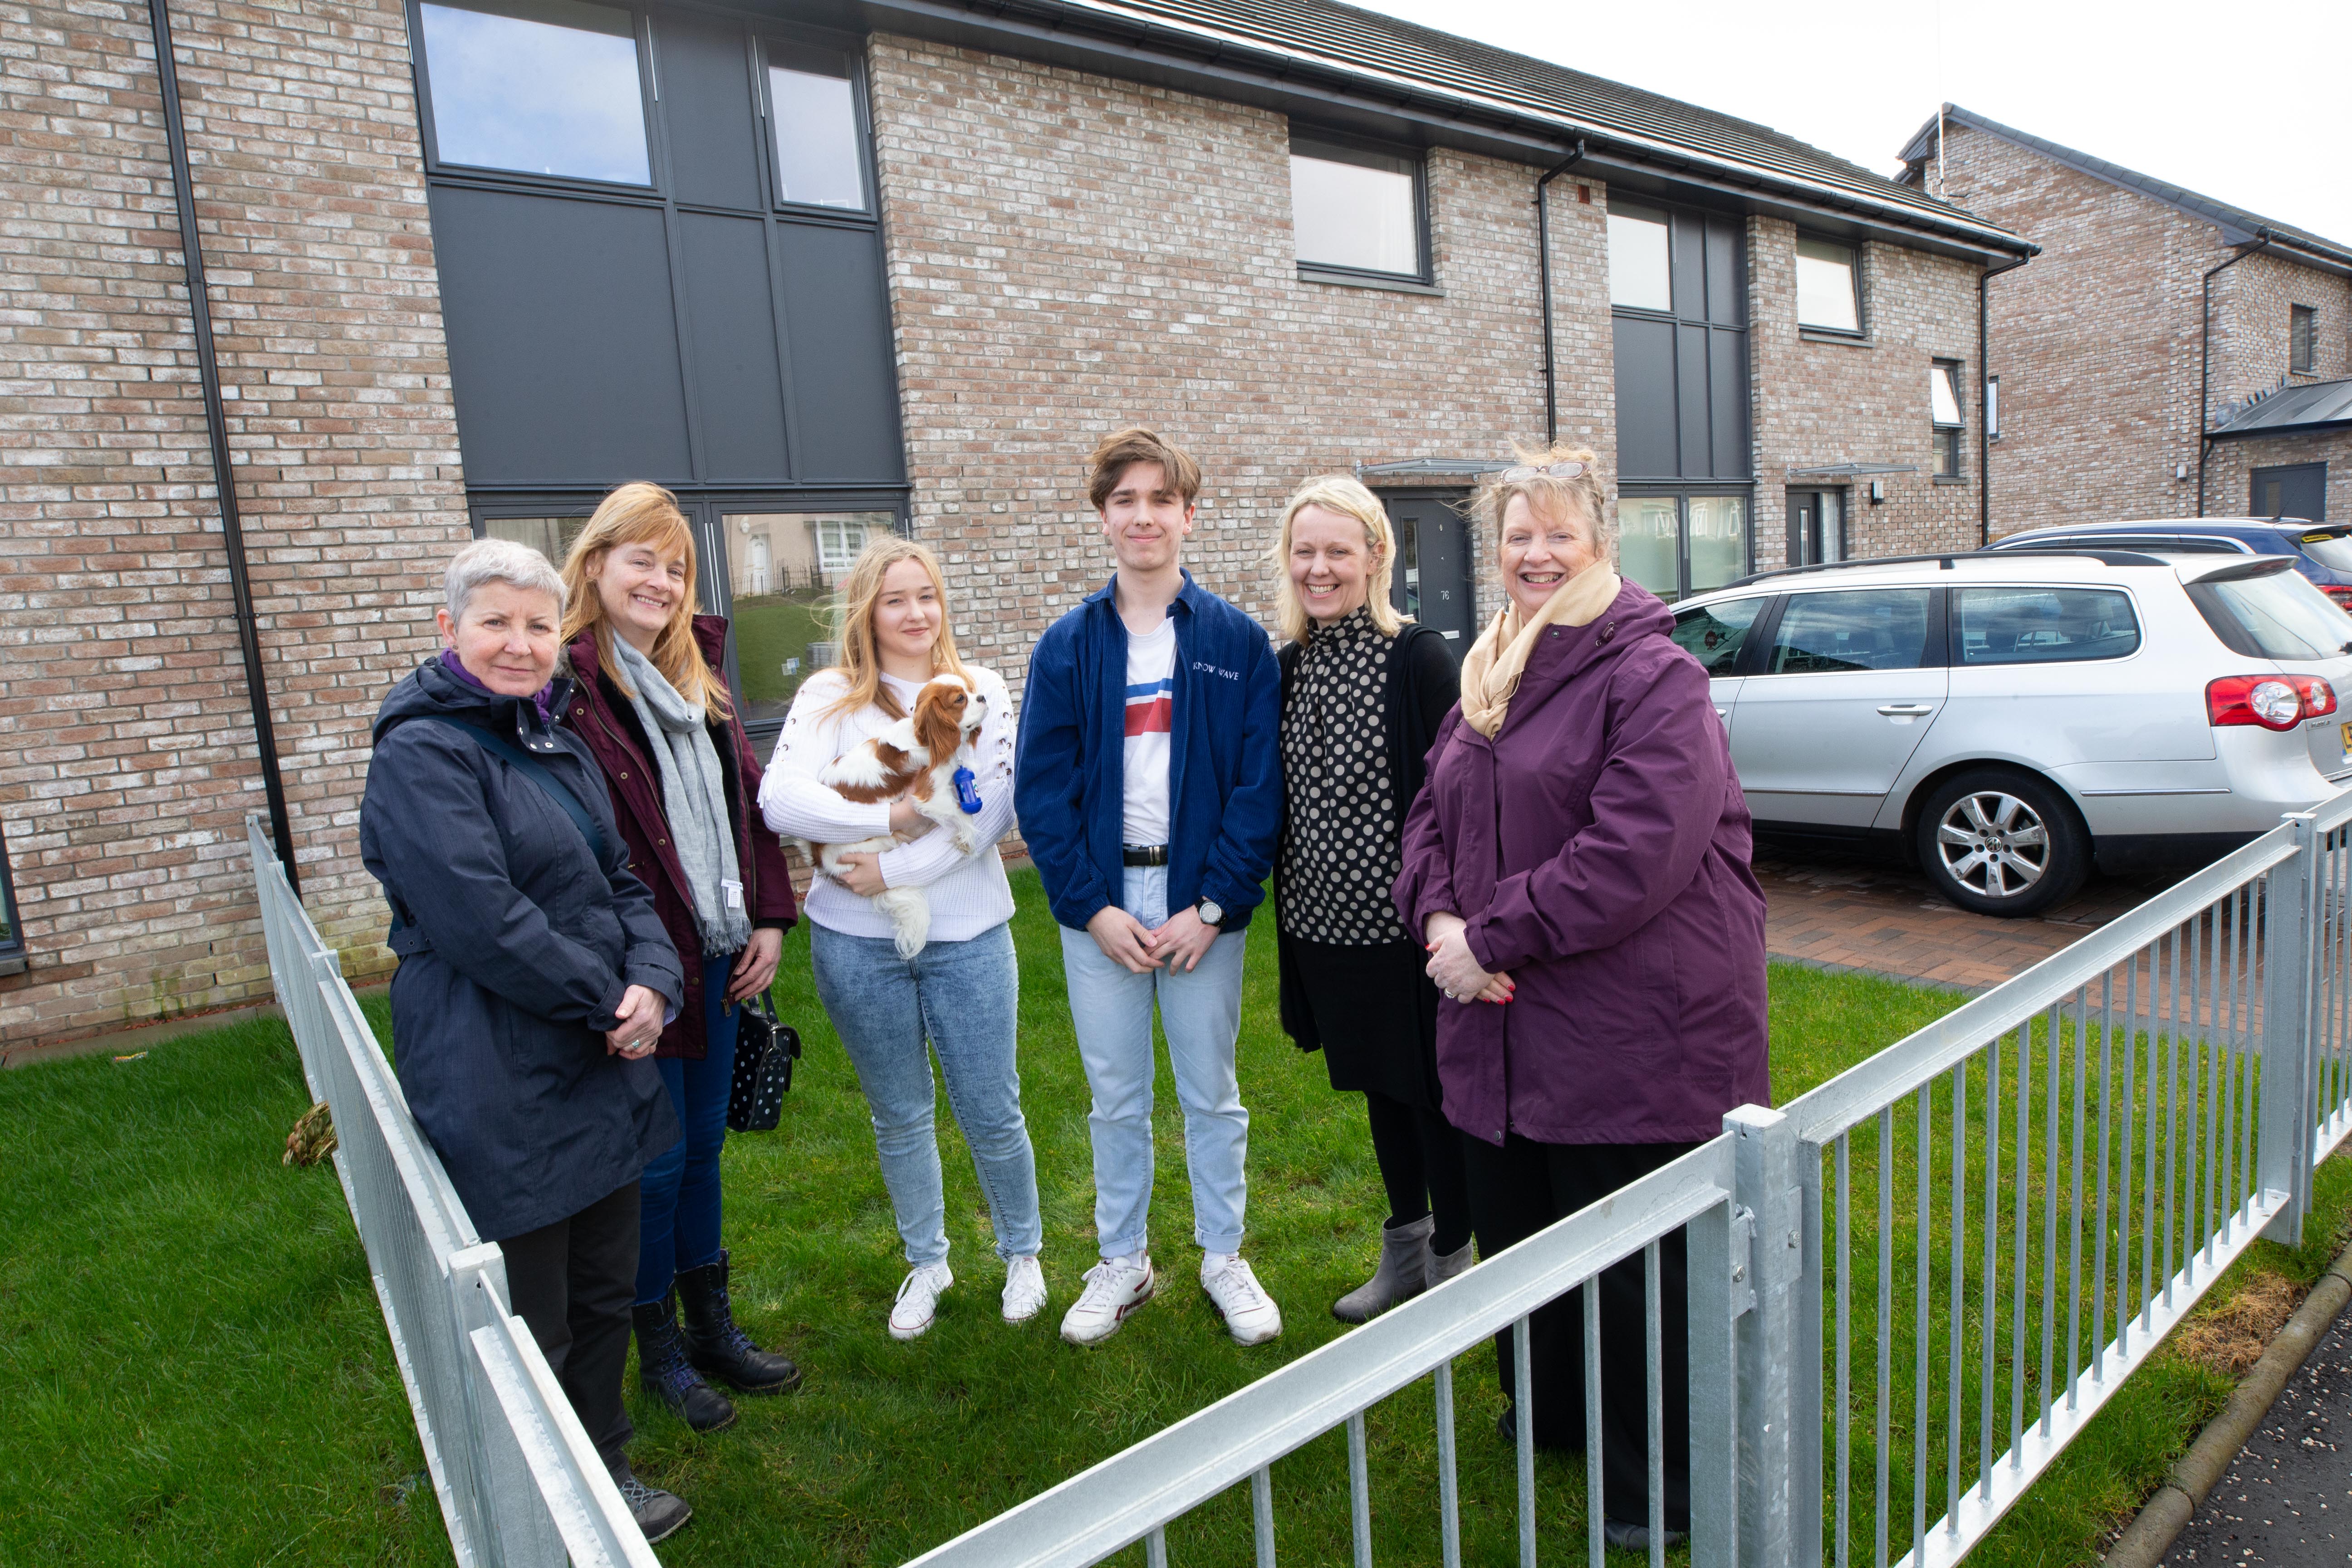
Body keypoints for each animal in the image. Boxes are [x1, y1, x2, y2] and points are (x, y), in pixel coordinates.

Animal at [813, 672, 988, 959]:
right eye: (960, 699)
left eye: (973, 691)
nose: (983, 697)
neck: (925, 739)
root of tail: (818, 858)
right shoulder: (928, 794)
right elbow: (962, 815)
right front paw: (968, 840)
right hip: (878, 842)